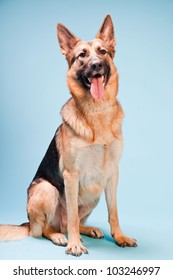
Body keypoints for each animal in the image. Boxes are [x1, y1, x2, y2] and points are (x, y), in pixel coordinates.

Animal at [0, 14, 137, 256]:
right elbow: (72, 215)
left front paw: (120, 237)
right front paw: (74, 244)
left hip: (95, 192)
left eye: (102, 51)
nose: (96, 65)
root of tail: (27, 222)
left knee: (68, 223)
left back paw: (87, 230)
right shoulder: (71, 176)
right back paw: (59, 236)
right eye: (82, 55)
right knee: (45, 228)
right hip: (47, 189)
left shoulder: (112, 174)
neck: (97, 112)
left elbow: (114, 212)